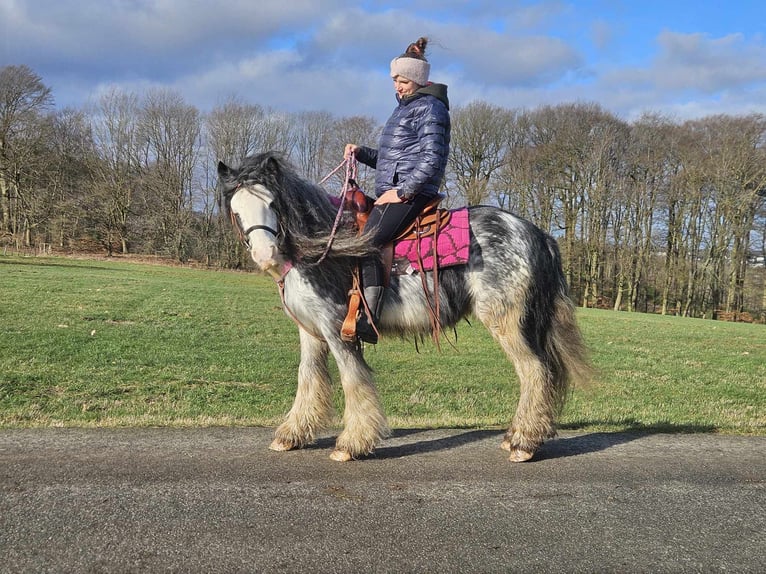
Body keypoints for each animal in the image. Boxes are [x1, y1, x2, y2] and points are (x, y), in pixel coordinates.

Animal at [218, 152, 592, 464]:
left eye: (272, 203)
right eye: (236, 209)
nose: (264, 255)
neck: (322, 247)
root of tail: (538, 234)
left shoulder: (337, 329)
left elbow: (353, 381)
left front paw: (352, 443)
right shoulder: (311, 332)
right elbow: (308, 379)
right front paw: (292, 435)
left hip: (507, 322)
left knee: (534, 372)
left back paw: (523, 443)